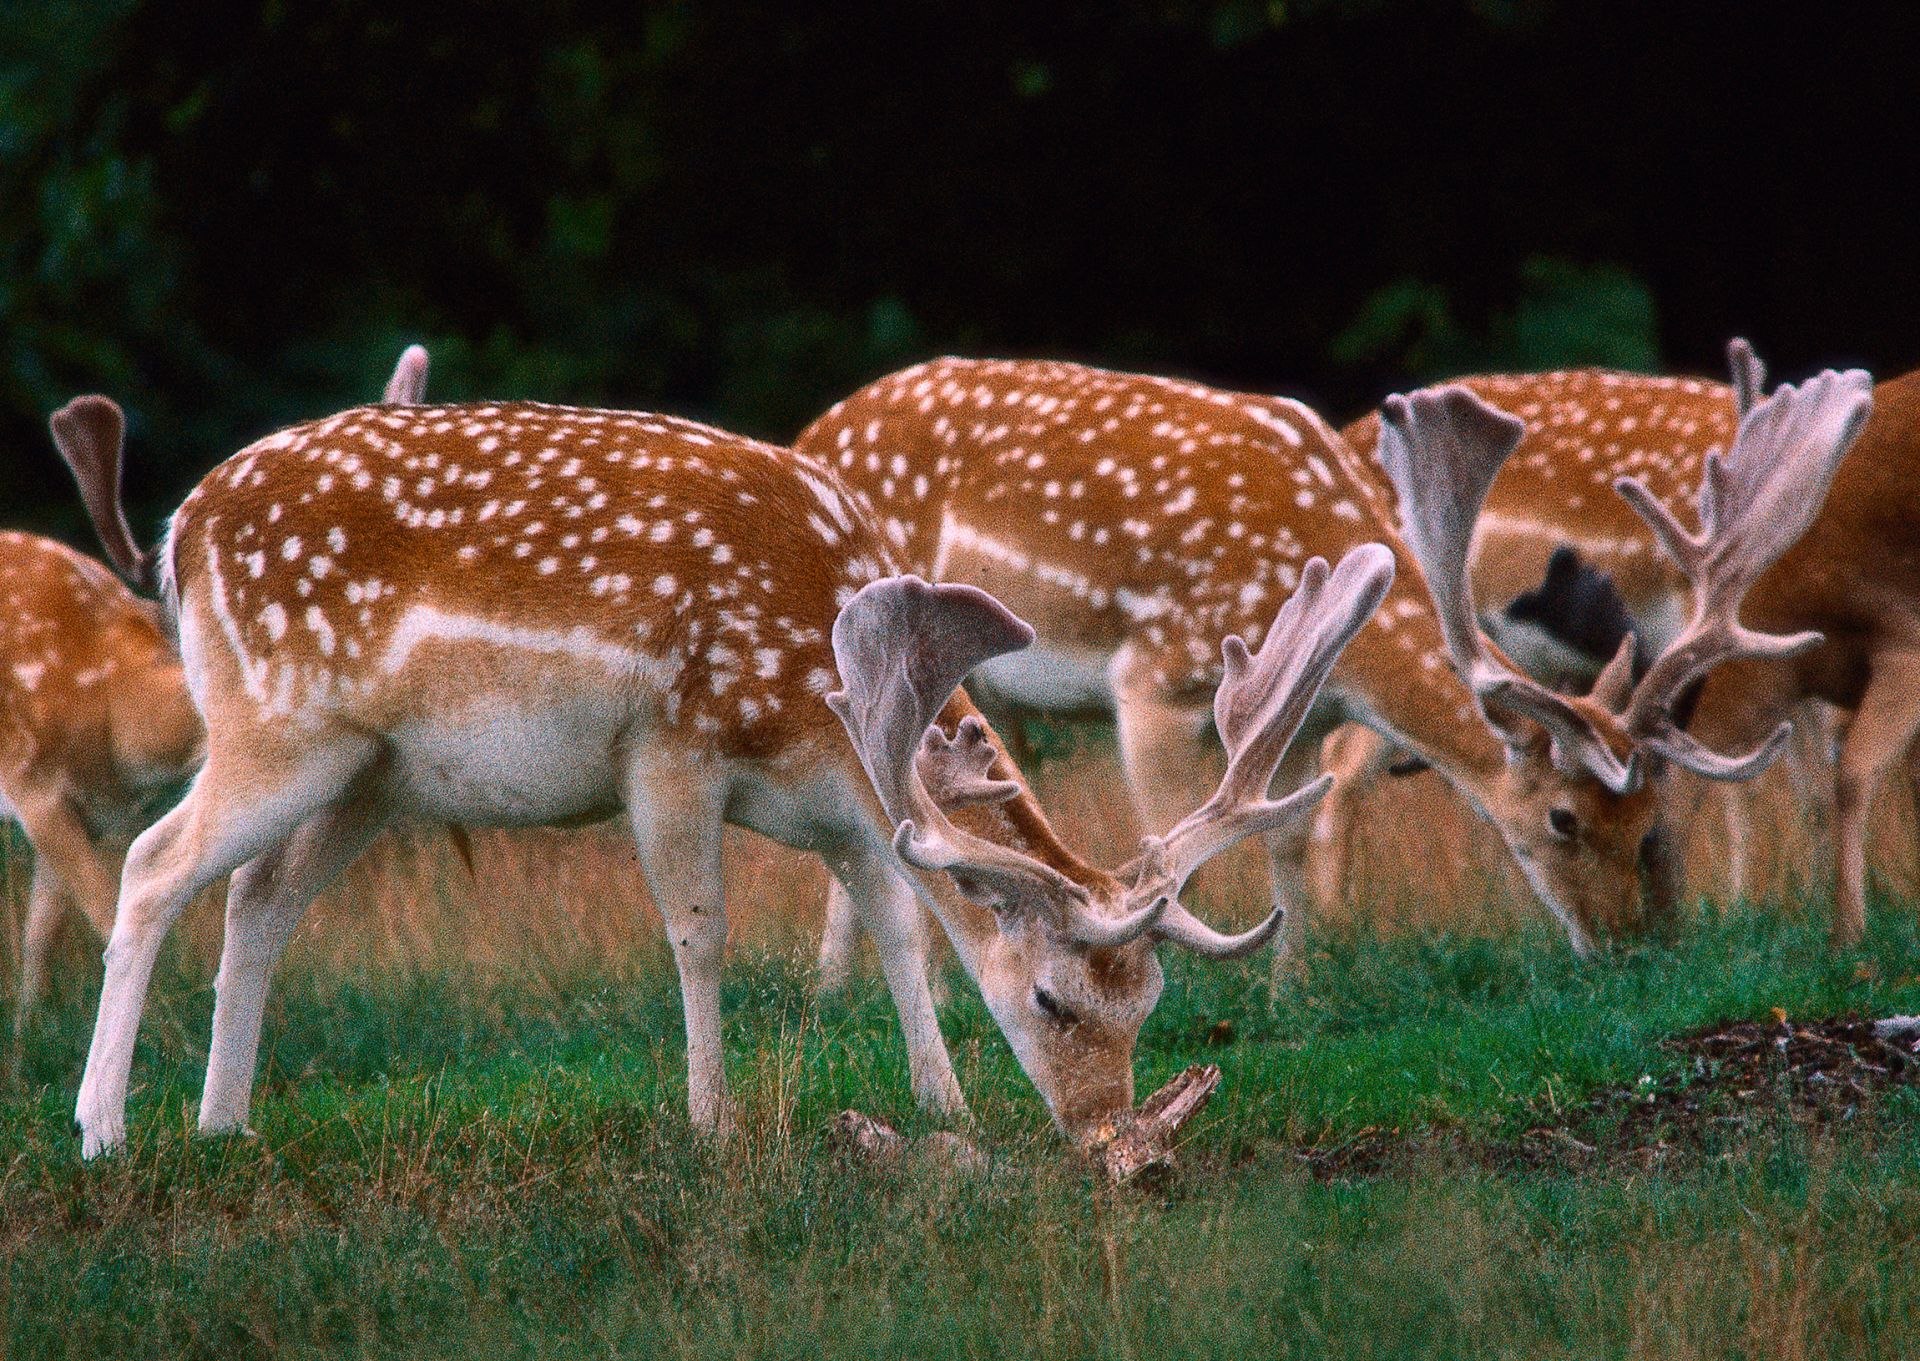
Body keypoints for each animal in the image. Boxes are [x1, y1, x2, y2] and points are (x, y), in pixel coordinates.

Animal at [2, 345, 432, 1044]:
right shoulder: (33, 783)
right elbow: (100, 906)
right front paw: (166, 1030)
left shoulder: (95, 815)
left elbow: (42, 939)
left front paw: (26, 1034)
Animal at [52, 382, 1382, 1159]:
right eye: (1055, 999)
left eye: (1148, 1002)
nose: (1130, 1152)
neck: (816, 693)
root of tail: (178, 533)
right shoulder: (672, 746)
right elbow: (700, 931)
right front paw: (711, 1121)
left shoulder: (847, 806)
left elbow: (900, 925)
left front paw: (942, 1104)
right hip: (274, 724)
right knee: (155, 862)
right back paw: (103, 1127)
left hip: (374, 775)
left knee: (258, 895)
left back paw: (223, 1121)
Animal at [798, 355, 1873, 959]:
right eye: (1563, 819)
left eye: (1649, 818)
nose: (1622, 946)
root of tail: (815, 428)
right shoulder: (1156, 676)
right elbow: (1171, 858)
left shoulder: (1295, 715)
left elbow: (1281, 834)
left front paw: (1296, 984)